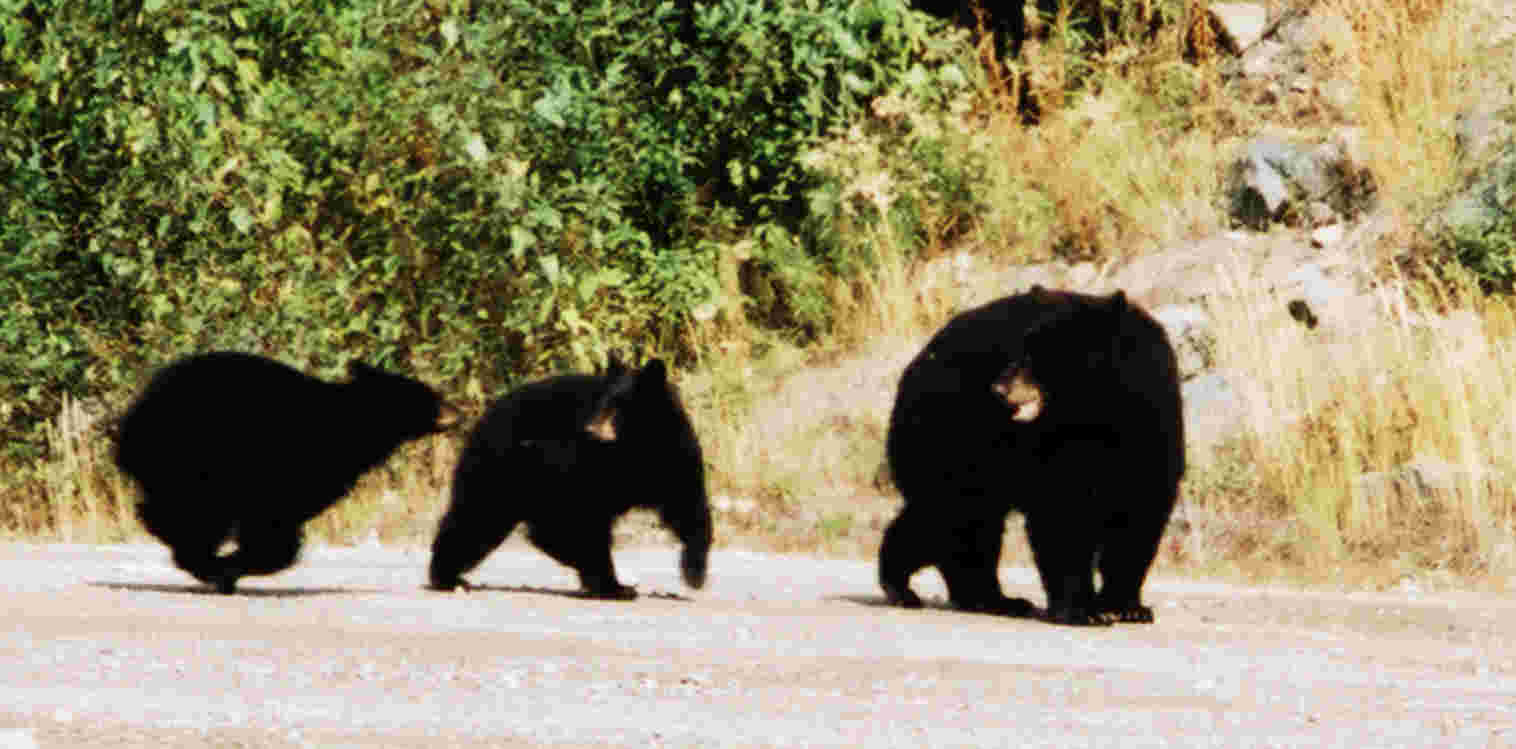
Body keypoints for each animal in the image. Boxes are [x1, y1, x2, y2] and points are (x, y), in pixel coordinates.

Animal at [114, 351, 458, 594]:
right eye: (428, 396)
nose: (457, 412)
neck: (351, 426)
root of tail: (132, 420)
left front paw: (235, 564)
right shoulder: (284, 472)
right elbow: (273, 532)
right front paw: (233, 565)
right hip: (196, 463)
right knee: (191, 514)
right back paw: (204, 563)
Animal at [428, 354, 712, 599]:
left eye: (620, 409)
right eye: (602, 404)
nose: (591, 430)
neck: (634, 451)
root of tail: (484, 416)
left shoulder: (673, 461)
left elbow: (689, 507)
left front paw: (694, 574)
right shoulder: (587, 465)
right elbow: (585, 518)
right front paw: (612, 587)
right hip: (504, 468)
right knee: (478, 517)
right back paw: (448, 579)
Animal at [879, 287, 1184, 625]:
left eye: (1035, 355)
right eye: (1021, 348)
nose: (998, 388)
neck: (1098, 414)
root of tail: (918, 361)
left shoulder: (1150, 437)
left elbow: (1139, 520)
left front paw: (1128, 607)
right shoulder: (1050, 447)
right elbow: (1062, 515)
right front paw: (1083, 610)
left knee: (962, 521)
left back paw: (990, 599)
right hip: (954, 437)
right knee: (953, 514)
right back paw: (907, 587)